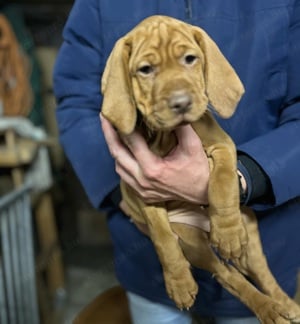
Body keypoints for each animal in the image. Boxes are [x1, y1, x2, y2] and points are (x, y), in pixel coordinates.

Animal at [101, 15, 300, 324]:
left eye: (189, 59)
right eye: (145, 70)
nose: (181, 103)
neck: (168, 136)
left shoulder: (223, 146)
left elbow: (222, 181)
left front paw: (227, 232)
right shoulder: (143, 187)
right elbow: (162, 239)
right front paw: (179, 283)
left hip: (249, 228)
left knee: (262, 273)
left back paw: (283, 304)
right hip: (190, 240)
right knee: (229, 276)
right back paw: (269, 308)